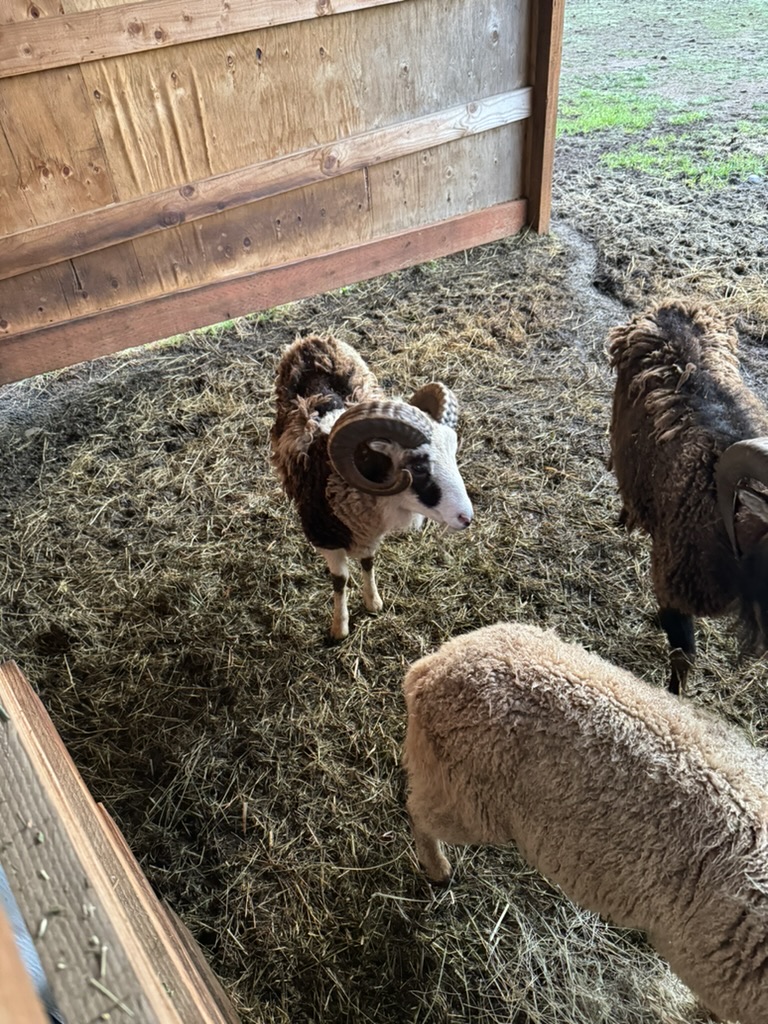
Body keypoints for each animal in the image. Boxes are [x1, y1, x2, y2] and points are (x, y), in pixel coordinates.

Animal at [270, 334, 473, 638]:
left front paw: (373, 602)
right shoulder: (326, 540)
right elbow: (340, 580)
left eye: (453, 453)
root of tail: (312, 340)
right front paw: (339, 628)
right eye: (418, 467)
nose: (466, 518)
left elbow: (368, 563)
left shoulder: (369, 535)